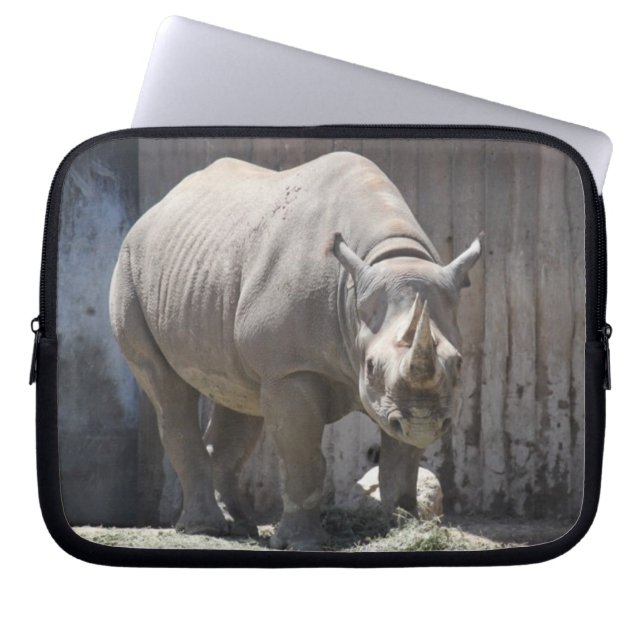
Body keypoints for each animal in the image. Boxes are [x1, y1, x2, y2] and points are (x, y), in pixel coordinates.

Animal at [109, 150, 482, 550]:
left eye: (459, 363)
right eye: (370, 366)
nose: (424, 423)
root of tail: (152, 210)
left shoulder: (401, 399)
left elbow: (401, 460)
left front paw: (401, 526)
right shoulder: (291, 369)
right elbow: (303, 456)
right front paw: (301, 542)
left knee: (239, 396)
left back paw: (239, 526)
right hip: (129, 268)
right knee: (166, 388)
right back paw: (204, 529)